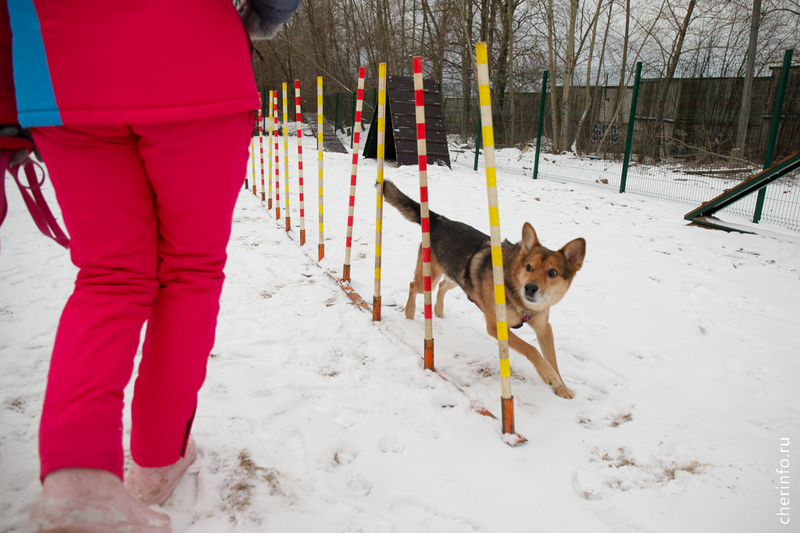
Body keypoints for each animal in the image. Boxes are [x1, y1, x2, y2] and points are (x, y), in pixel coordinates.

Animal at [384, 181, 584, 396]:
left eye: (552, 273)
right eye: (529, 267)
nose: (530, 288)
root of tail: (440, 220)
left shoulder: (544, 328)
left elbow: (552, 359)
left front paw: (562, 387)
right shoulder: (497, 326)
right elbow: (531, 349)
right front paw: (549, 376)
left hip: (458, 277)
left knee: (443, 287)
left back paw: (437, 309)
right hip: (429, 277)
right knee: (414, 285)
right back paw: (410, 311)